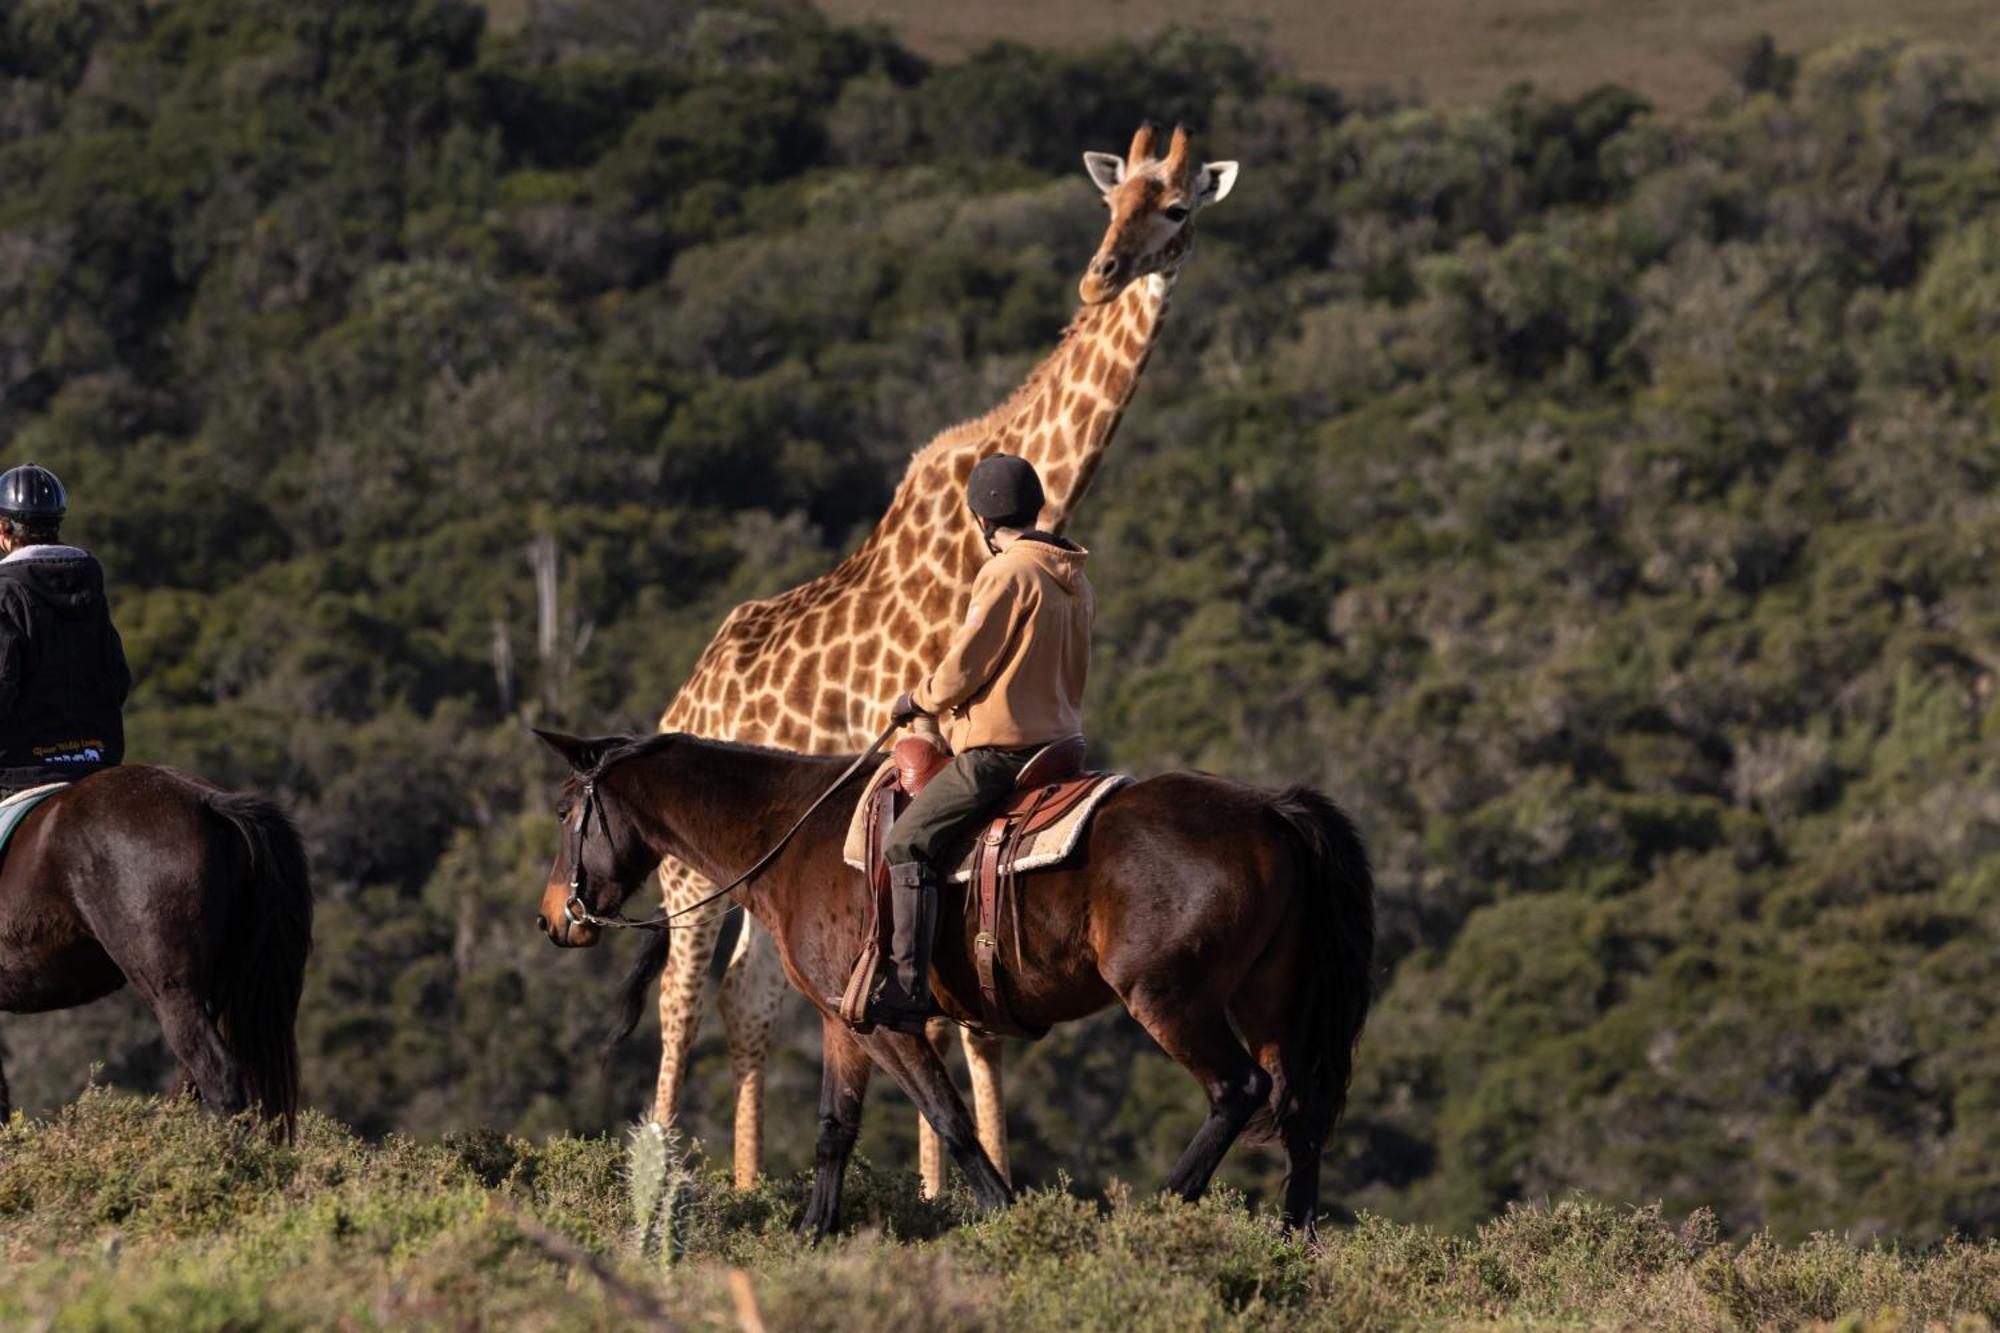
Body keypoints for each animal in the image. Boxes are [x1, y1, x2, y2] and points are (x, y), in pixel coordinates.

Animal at [532, 732, 1376, 1232]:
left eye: (568, 809)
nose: (552, 917)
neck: (793, 830)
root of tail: (1272, 810)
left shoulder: (885, 1022)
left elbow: (950, 1118)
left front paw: (1013, 1219)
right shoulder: (843, 1021)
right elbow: (835, 1128)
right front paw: (811, 1231)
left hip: (1172, 1001)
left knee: (1238, 1090)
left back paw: (1157, 1214)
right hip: (1270, 1002)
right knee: (1300, 1112)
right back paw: (1294, 1239)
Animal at [648, 122, 1232, 1184]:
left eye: (1175, 208)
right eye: (1109, 202)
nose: (1101, 274)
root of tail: (687, 696)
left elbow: (971, 1004)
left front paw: (977, 1177)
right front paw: (941, 1185)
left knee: (747, 992)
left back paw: (747, 1179)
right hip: (686, 872)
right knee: (680, 996)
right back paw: (667, 1165)